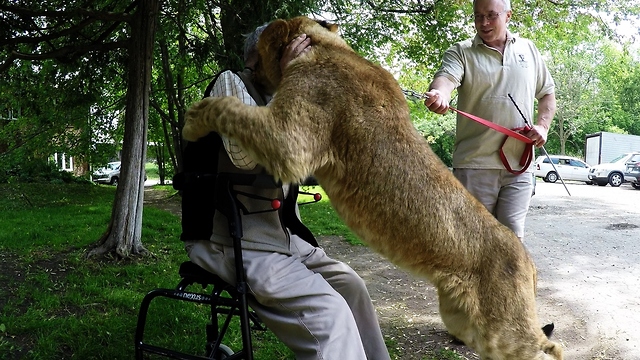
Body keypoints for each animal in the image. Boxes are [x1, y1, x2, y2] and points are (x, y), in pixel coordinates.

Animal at [182, 15, 564, 358]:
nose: (246, 69)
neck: (325, 47)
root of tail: (529, 262)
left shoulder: (290, 142)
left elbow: (229, 107)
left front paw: (193, 117)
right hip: (467, 323)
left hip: (502, 331)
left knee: (550, 347)